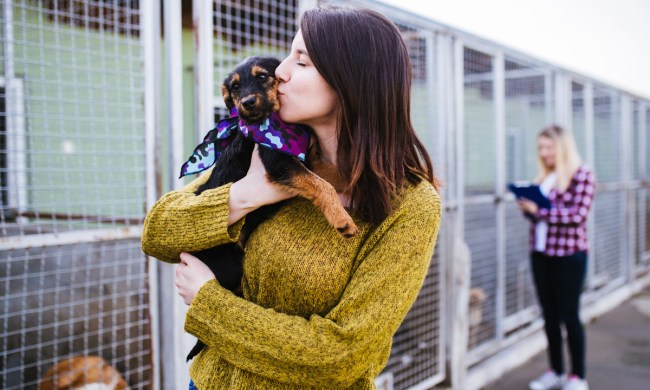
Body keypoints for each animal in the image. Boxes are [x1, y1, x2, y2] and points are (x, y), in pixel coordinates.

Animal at [185, 56, 356, 362]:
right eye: (235, 87)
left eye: (263, 76)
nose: (247, 103)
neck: (275, 124)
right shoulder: (280, 162)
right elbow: (321, 184)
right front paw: (342, 220)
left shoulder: (305, 157)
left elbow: (328, 172)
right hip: (231, 266)